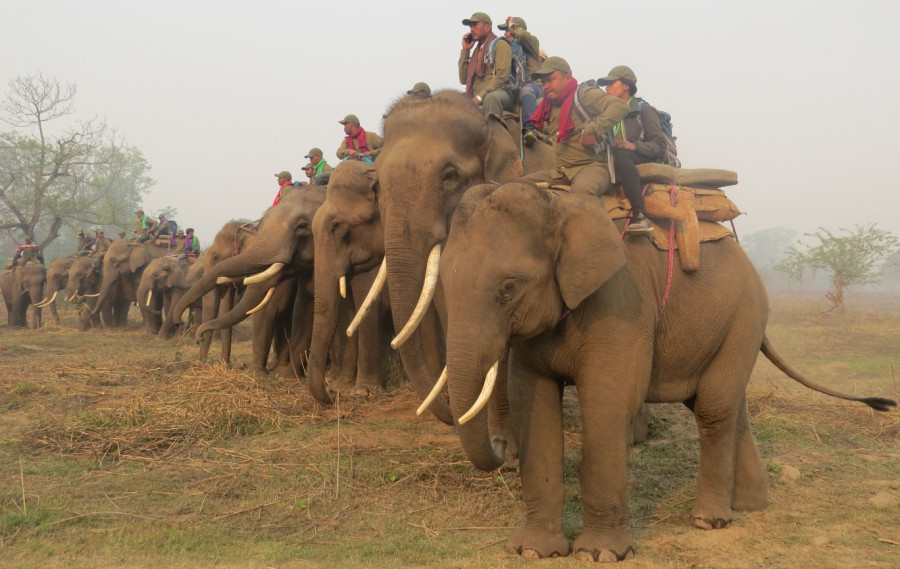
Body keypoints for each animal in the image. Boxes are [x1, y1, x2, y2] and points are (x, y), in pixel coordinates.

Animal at [437, 182, 895, 561]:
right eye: (441, 283)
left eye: (508, 288)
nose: (500, 445)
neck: (558, 203)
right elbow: (532, 402)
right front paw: (533, 551)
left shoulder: (622, 302)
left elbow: (609, 401)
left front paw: (601, 555)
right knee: (728, 406)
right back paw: (749, 505)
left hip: (746, 316)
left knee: (713, 408)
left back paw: (711, 519)